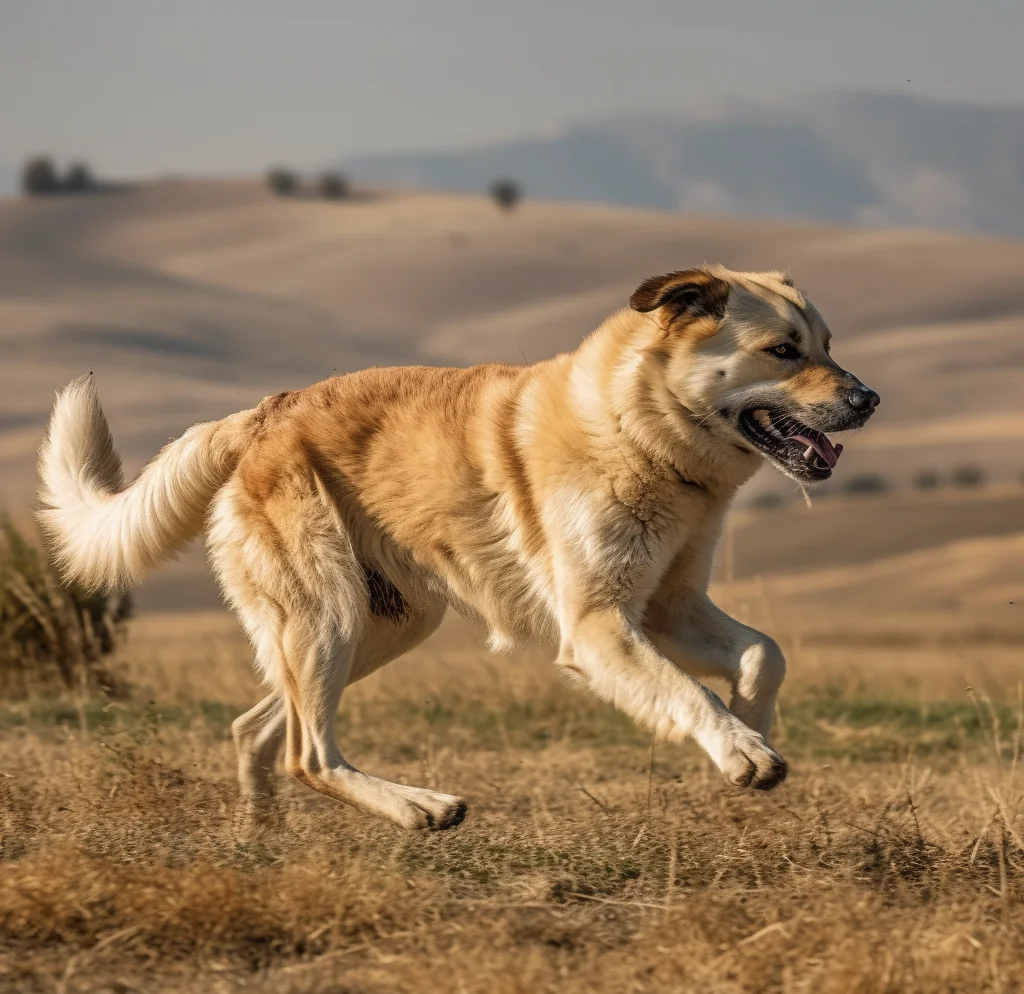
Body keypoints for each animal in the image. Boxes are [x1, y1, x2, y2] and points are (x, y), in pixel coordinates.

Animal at [36, 264, 876, 831]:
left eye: (829, 344)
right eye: (783, 350)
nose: (869, 398)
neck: (639, 427)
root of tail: (263, 412)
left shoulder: (670, 606)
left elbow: (764, 653)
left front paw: (754, 727)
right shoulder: (598, 626)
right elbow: (687, 692)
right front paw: (741, 749)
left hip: (381, 625)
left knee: (261, 733)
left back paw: (262, 844)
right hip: (329, 617)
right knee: (309, 754)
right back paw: (421, 808)